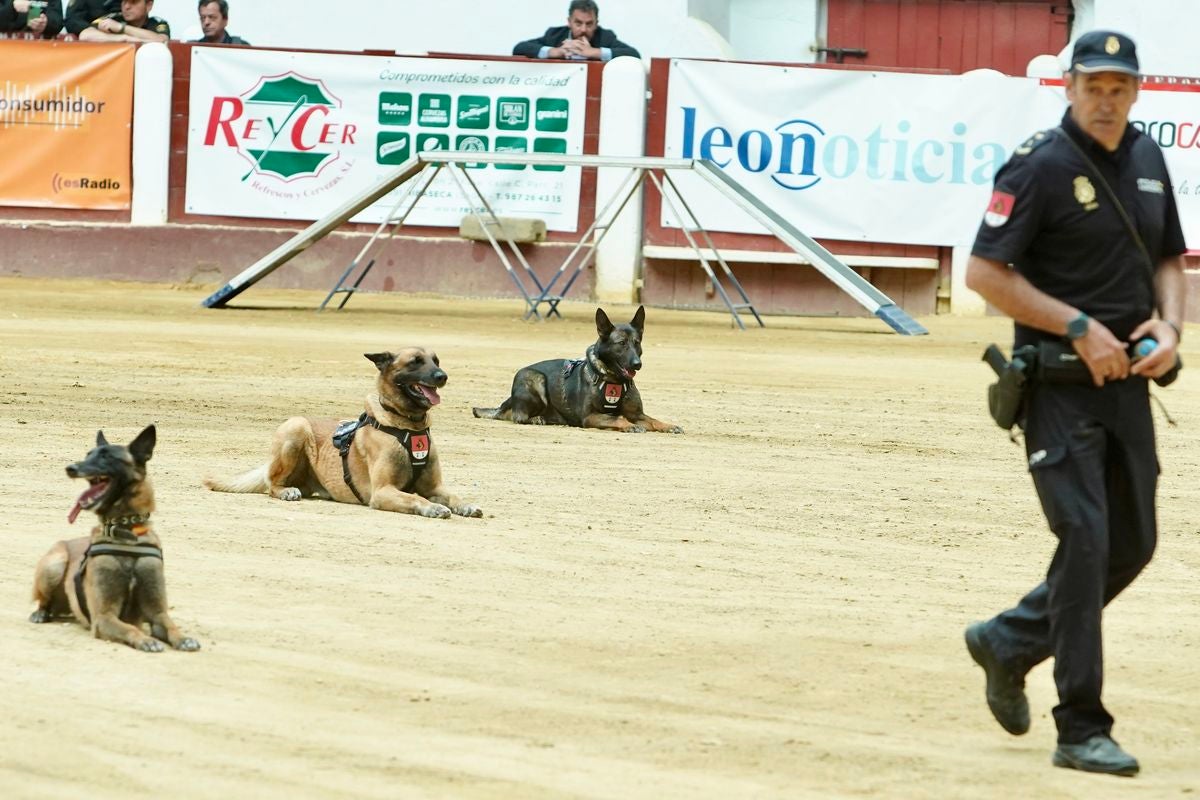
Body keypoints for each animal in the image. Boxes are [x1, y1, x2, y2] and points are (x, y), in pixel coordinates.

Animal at [27, 429, 201, 652]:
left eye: (106, 456)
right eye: (88, 455)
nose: (70, 468)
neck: (125, 532)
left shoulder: (157, 613)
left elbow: (171, 626)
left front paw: (184, 638)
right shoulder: (104, 617)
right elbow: (130, 628)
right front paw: (146, 640)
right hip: (54, 564)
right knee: (43, 600)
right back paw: (41, 613)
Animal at [206, 347, 482, 522]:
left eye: (436, 361)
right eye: (415, 361)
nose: (442, 376)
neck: (408, 425)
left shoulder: (434, 486)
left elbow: (453, 494)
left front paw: (466, 504)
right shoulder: (383, 491)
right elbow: (415, 498)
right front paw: (433, 507)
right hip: (296, 427)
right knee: (271, 483)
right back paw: (285, 491)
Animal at [475, 307, 686, 434]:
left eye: (637, 343)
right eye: (621, 344)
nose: (637, 364)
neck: (613, 379)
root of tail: (506, 402)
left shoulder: (638, 415)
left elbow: (654, 420)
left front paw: (669, 425)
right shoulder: (590, 417)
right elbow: (616, 418)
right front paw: (629, 426)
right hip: (533, 377)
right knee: (517, 417)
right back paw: (536, 419)